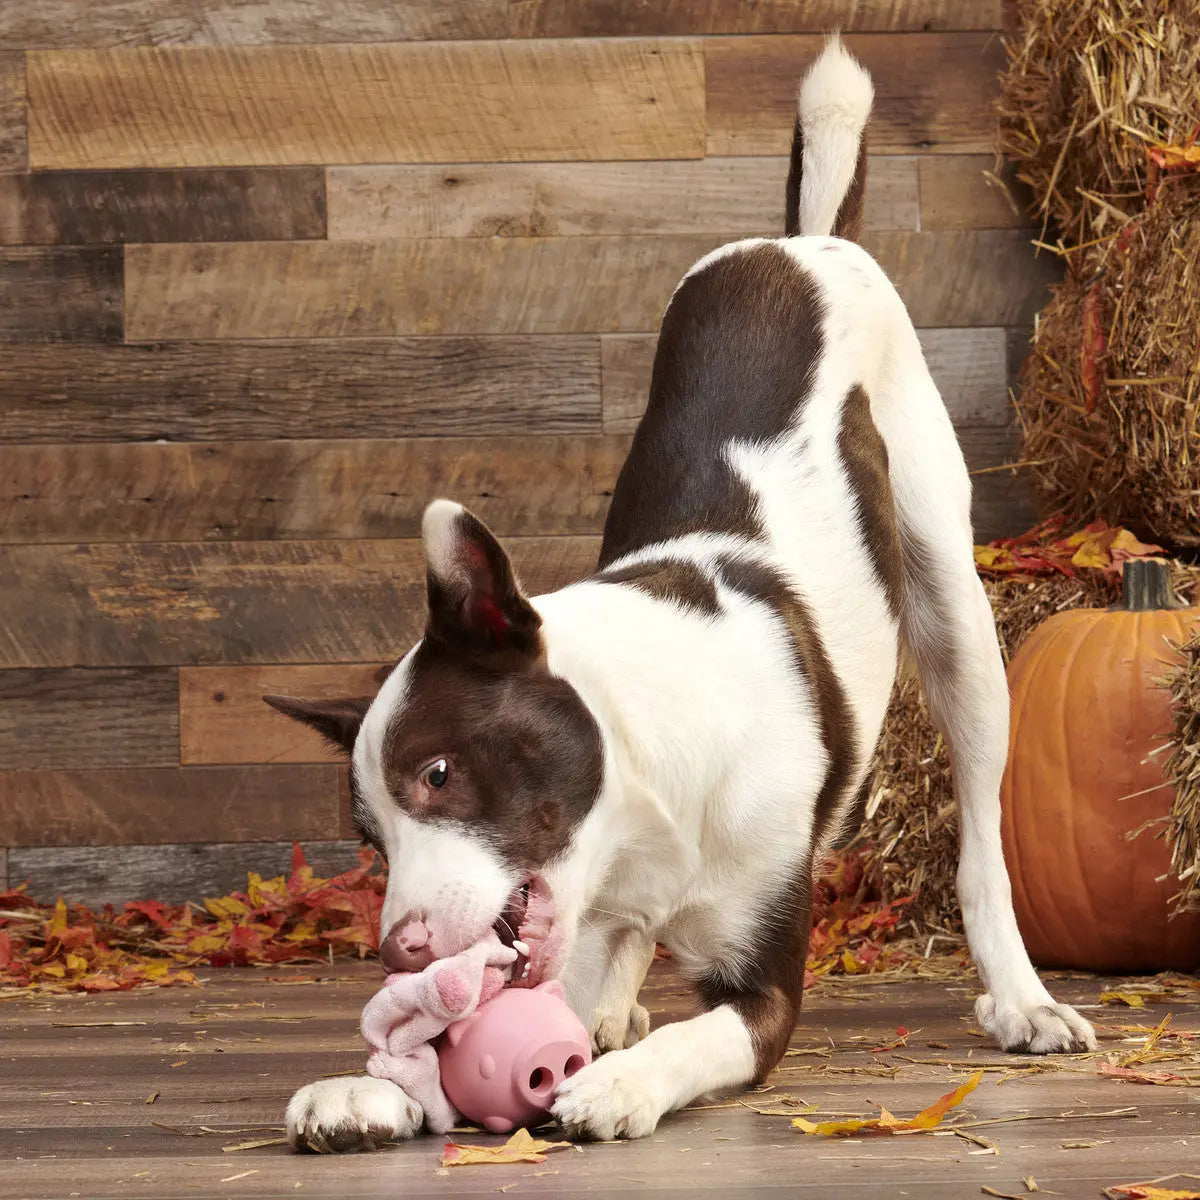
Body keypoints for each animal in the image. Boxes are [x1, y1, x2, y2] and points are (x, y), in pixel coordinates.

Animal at [274, 35, 1099, 1142]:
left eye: (439, 776)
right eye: (368, 837)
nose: (399, 947)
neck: (644, 795)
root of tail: (797, 240)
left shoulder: (765, 983)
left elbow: (702, 1033)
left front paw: (623, 1083)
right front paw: (372, 1085)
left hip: (959, 621)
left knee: (979, 824)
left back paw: (1020, 998)